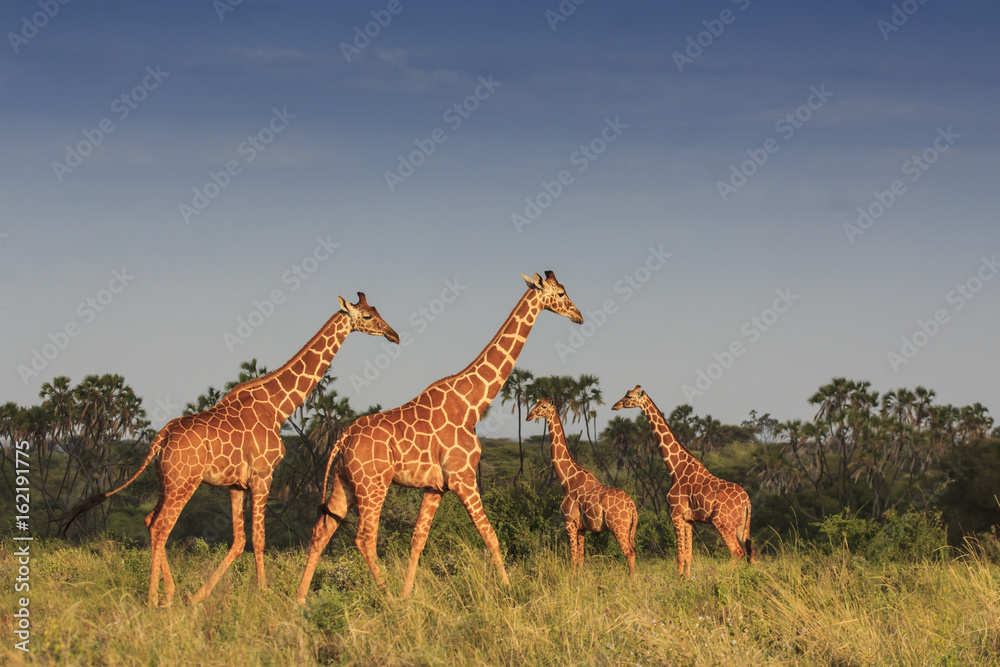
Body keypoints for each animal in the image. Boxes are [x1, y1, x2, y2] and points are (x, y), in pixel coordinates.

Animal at [61, 293, 399, 606]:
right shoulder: (263, 475)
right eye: (367, 316)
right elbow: (259, 539)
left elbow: (238, 540)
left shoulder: (236, 484)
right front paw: (263, 594)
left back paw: (171, 592)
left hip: (164, 481)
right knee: (160, 527)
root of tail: (161, 437)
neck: (278, 407)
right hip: (184, 482)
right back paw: (155, 598)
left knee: (148, 520)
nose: (393, 335)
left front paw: (199, 596)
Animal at [295, 271, 583, 602]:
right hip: (373, 484)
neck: (472, 403)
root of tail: (342, 439)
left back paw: (300, 600)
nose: (579, 316)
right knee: (364, 537)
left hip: (344, 483)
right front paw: (509, 590)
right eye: (560, 293)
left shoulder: (435, 488)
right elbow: (491, 536)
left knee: (321, 531)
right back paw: (387, 598)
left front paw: (408, 595)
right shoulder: (464, 478)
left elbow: (418, 540)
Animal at [526, 397, 637, 576]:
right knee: (633, 550)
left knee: (629, 552)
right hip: (628, 528)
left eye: (543, 406)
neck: (567, 480)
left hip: (618, 527)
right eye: (534, 404)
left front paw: (571, 578)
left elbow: (572, 558)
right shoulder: (582, 528)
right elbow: (581, 559)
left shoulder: (569, 522)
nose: (529, 416)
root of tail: (631, 505)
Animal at [611, 385, 754, 578]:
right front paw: (687, 579)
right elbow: (688, 555)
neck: (675, 468)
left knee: (737, 552)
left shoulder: (676, 514)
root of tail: (746, 501)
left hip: (723, 523)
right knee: (749, 552)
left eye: (629, 396)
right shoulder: (689, 519)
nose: (615, 406)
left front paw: (678, 580)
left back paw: (727, 579)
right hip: (742, 525)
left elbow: (679, 555)